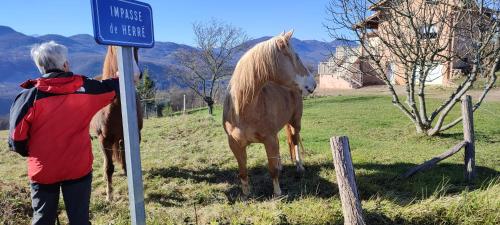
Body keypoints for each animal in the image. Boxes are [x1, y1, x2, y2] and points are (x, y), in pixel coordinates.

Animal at [91, 46, 143, 201]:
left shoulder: (135, 135)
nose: (134, 75)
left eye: (137, 48)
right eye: (115, 48)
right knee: (106, 160)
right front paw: (109, 195)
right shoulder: (104, 139)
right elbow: (109, 167)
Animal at [223, 30, 316, 196]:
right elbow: (243, 172)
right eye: (296, 56)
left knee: (295, 140)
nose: (313, 84)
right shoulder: (235, 144)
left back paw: (299, 166)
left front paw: (278, 194)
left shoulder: (269, 139)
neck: (243, 110)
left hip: (295, 122)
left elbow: (272, 170)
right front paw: (246, 195)